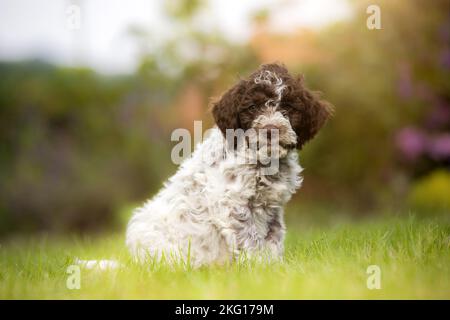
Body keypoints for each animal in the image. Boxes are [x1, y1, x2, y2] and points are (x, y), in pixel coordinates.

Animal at [125, 63, 332, 268]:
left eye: (288, 106)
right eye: (252, 107)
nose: (271, 129)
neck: (264, 161)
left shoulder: (274, 207)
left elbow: (274, 237)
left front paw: (275, 265)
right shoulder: (233, 203)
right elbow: (250, 239)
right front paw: (258, 265)